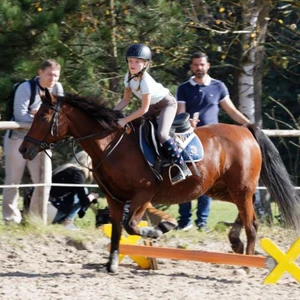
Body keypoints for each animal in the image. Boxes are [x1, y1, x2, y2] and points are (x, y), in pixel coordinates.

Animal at [18, 88, 300, 272]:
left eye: (43, 117)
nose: (23, 149)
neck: (110, 145)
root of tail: (246, 130)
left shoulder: (144, 193)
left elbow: (132, 225)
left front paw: (161, 227)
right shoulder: (114, 197)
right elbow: (117, 228)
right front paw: (111, 264)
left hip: (240, 188)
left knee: (252, 223)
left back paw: (246, 265)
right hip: (221, 189)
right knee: (247, 215)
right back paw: (236, 242)